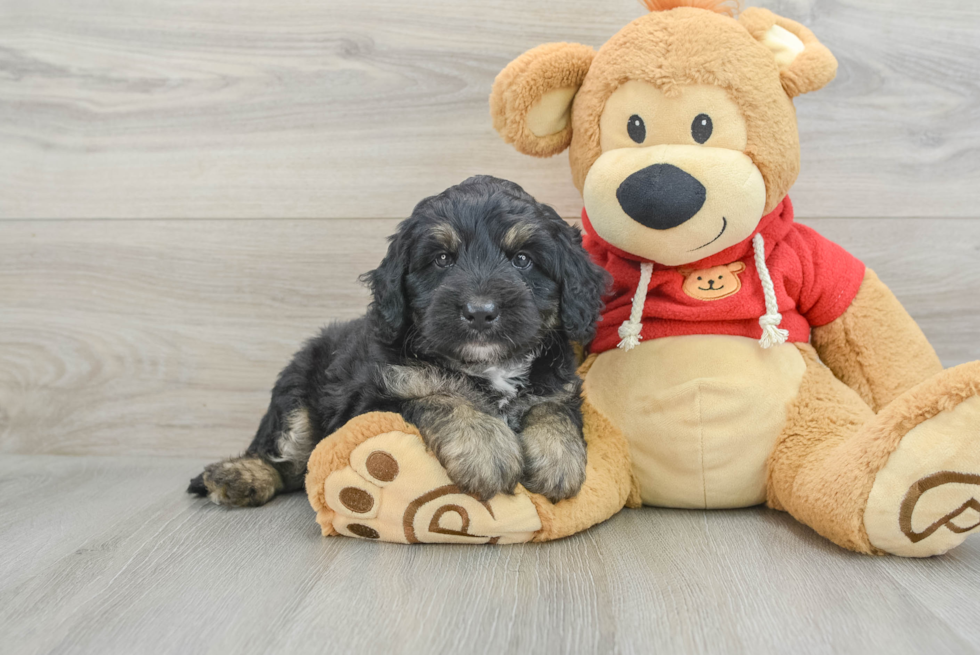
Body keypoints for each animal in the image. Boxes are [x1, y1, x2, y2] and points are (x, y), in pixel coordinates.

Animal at [188, 178, 608, 508]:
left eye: (522, 259)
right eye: (442, 259)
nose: (479, 312)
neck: (487, 367)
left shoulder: (559, 384)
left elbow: (552, 408)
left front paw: (558, 458)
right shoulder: (369, 403)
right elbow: (438, 396)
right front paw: (485, 445)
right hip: (296, 388)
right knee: (286, 458)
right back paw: (239, 476)